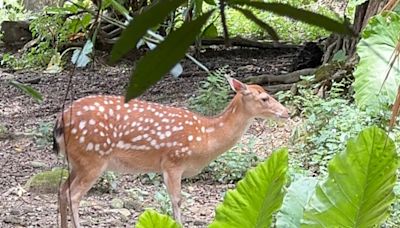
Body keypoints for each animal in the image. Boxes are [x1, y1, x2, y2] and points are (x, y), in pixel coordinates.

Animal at [53, 77, 290, 227]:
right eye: (264, 98)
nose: (286, 112)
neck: (206, 136)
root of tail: (60, 121)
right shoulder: (173, 161)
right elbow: (176, 200)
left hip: (77, 161)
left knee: (62, 189)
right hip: (93, 157)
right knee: (73, 194)